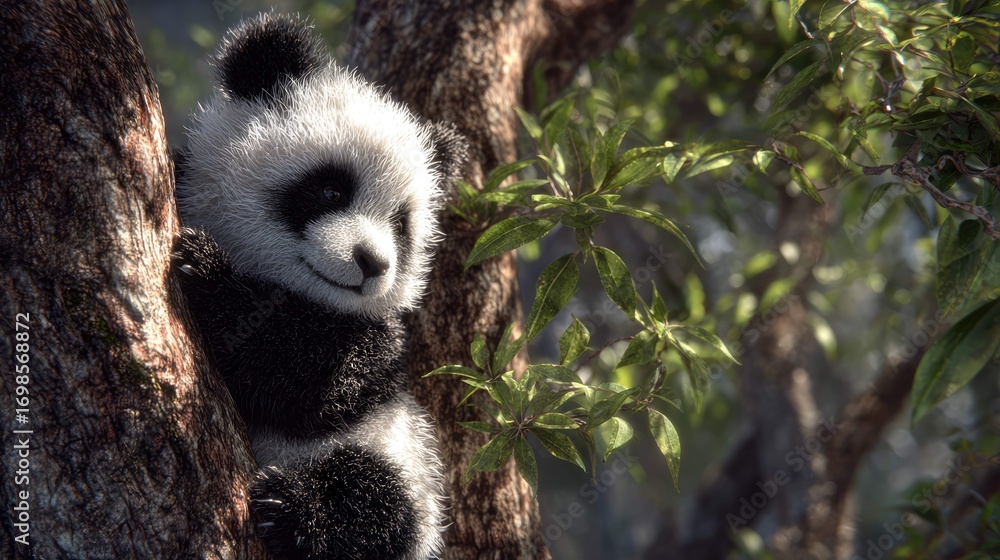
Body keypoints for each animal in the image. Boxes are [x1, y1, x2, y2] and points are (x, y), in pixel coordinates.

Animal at [172, 13, 465, 560]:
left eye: (400, 225)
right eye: (331, 189)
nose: (373, 264)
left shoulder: (373, 344)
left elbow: (308, 377)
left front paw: (209, 275)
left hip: (398, 456)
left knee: (379, 503)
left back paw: (293, 511)